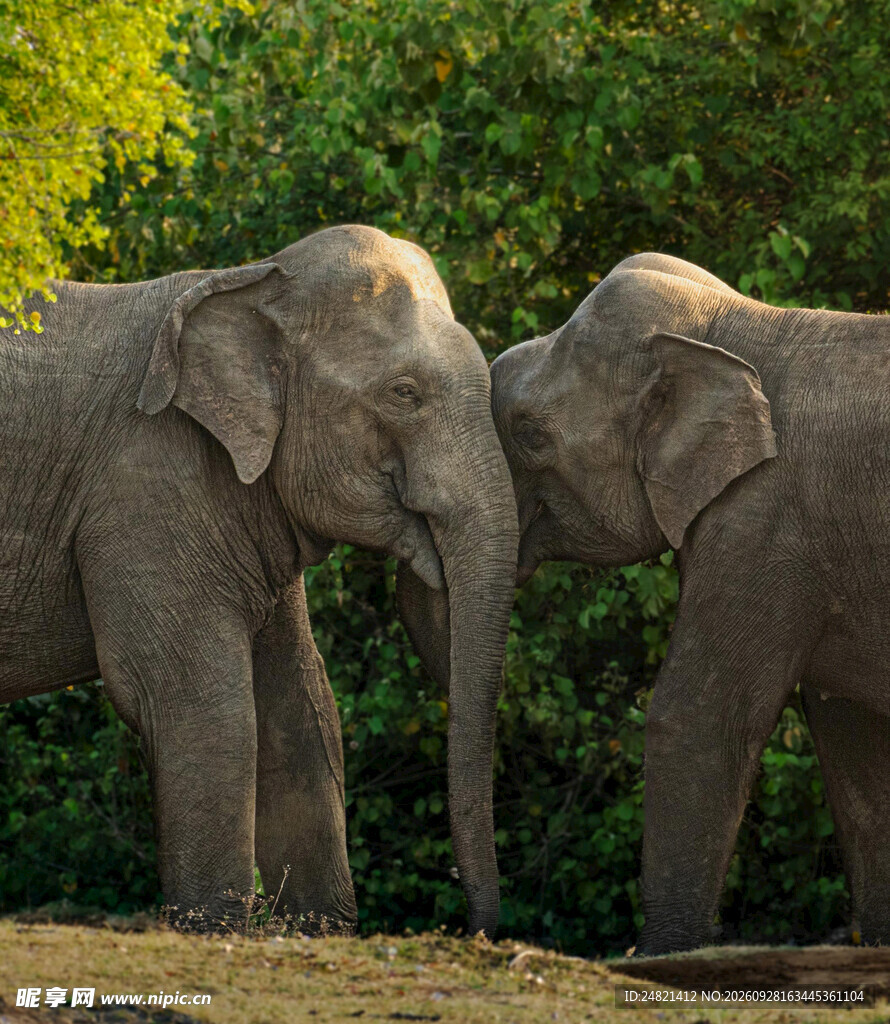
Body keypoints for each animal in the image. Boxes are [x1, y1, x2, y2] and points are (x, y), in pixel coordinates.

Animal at [0, 225, 518, 936]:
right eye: (404, 394)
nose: (476, 929)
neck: (251, 279)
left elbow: (302, 712)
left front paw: (320, 932)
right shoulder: (145, 488)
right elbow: (201, 706)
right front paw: (213, 928)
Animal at [486, 251, 890, 955]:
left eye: (531, 434)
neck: (733, 328)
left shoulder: (763, 521)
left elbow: (697, 713)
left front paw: (661, 955)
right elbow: (854, 740)